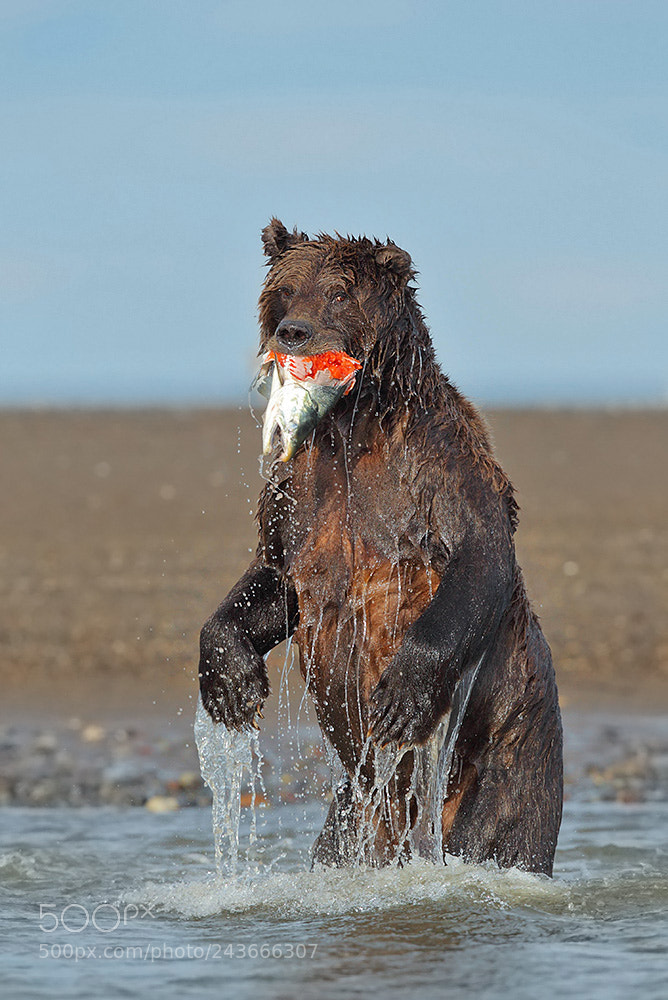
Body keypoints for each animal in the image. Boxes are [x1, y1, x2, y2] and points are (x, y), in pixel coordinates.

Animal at [199, 219, 563, 876]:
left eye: (338, 293)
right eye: (285, 291)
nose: (294, 332)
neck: (352, 424)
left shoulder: (440, 468)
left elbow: (478, 559)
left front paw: (400, 697)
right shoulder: (298, 496)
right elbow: (274, 580)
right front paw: (231, 683)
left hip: (504, 756)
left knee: (499, 831)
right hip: (359, 809)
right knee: (340, 840)